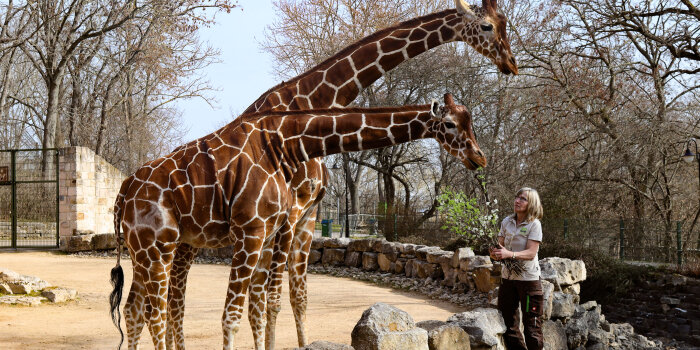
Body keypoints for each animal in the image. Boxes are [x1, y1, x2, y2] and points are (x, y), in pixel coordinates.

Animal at [109, 93, 490, 350]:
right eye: (451, 124)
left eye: (471, 121)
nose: (479, 157)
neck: (286, 142)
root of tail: (125, 189)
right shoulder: (252, 229)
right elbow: (234, 314)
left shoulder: (270, 230)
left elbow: (264, 302)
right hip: (159, 246)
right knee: (156, 314)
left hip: (146, 249)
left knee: (135, 310)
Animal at [160, 0, 520, 350]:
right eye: (487, 26)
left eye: (504, 23)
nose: (511, 64)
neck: (312, 99)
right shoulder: (289, 212)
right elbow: (272, 297)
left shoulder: (308, 212)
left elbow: (297, 295)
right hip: (188, 240)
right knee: (172, 296)